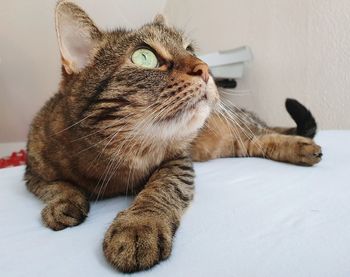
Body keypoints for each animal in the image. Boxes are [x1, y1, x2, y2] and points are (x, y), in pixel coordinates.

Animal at [24, 1, 322, 272]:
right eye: (144, 57)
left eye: (190, 49)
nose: (206, 68)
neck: (112, 162)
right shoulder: (31, 172)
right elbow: (57, 186)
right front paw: (64, 203)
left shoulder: (177, 160)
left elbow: (161, 188)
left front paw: (139, 225)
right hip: (235, 144)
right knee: (258, 141)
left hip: (240, 124)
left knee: (266, 133)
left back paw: (303, 146)